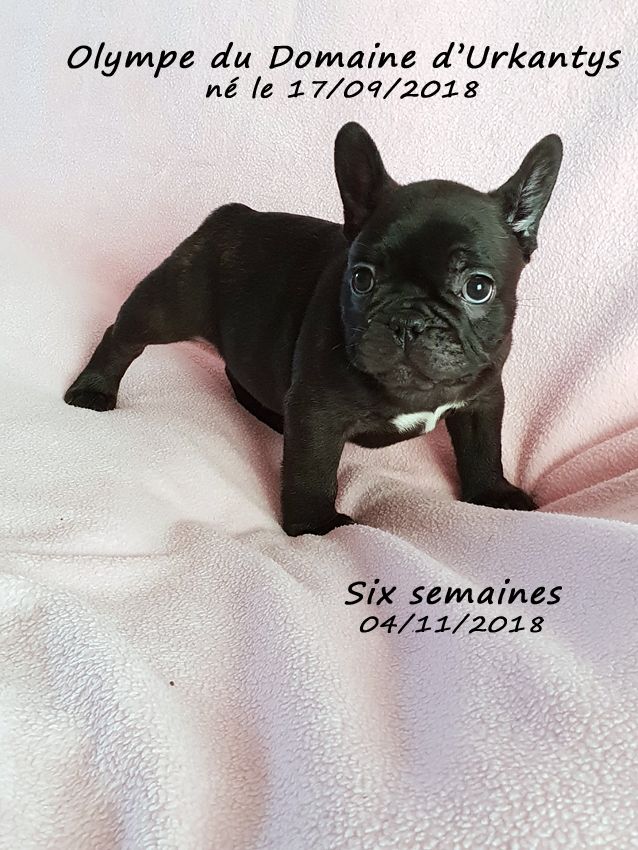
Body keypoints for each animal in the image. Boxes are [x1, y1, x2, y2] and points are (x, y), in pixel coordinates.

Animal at [65, 122, 563, 536]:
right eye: (361, 278)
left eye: (478, 287)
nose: (407, 321)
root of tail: (236, 214)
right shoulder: (319, 411)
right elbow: (310, 473)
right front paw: (315, 527)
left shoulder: (483, 398)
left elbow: (483, 450)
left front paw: (492, 494)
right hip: (171, 303)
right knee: (122, 335)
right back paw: (92, 390)